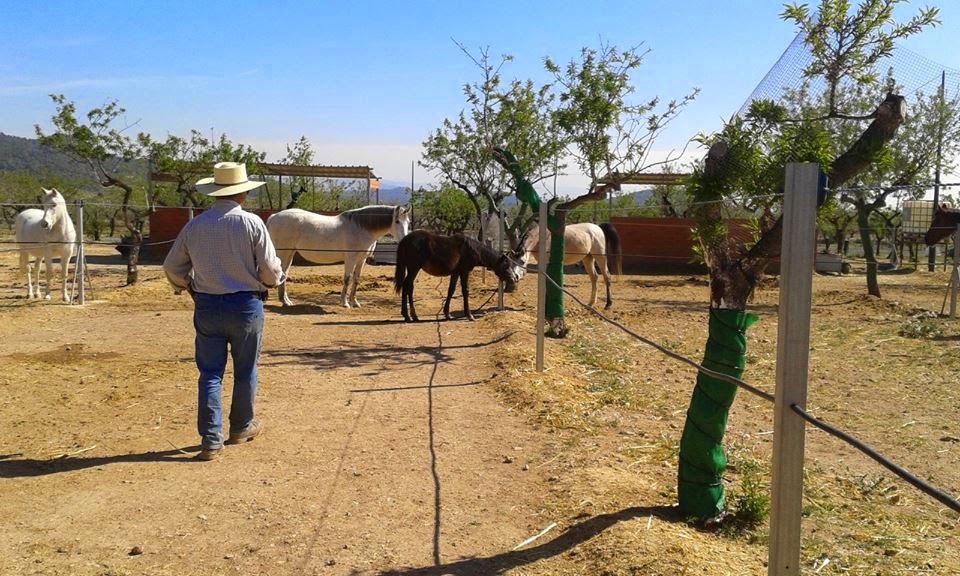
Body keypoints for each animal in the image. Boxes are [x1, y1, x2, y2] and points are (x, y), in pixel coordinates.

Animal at [266, 204, 411, 308]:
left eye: (408, 222)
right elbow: (347, 279)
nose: (404, 239)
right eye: (397, 221)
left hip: (289, 253)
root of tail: (274, 216)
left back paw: (285, 301)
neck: (360, 228)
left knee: (284, 274)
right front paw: (344, 303)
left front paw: (354, 302)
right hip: (283, 253)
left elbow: (356, 279)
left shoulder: (361, 260)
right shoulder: (351, 259)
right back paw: (285, 301)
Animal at [393, 230, 526, 322]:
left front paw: (447, 314)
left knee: (408, 287)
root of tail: (406, 240)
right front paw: (469, 315)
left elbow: (450, 291)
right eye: (506, 265)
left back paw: (410, 315)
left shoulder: (455, 273)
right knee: (407, 286)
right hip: (413, 268)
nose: (514, 278)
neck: (471, 249)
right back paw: (409, 316)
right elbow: (465, 291)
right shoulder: (464, 271)